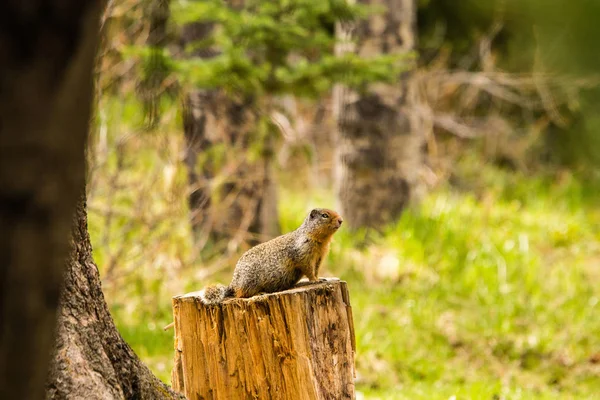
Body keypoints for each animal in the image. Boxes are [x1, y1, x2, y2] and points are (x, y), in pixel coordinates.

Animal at [199, 208, 342, 304]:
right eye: (324, 215)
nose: (341, 220)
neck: (320, 241)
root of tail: (233, 283)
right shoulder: (303, 254)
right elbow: (308, 269)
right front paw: (314, 280)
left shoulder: (319, 257)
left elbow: (316, 269)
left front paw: (320, 278)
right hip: (250, 281)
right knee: (241, 294)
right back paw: (259, 292)